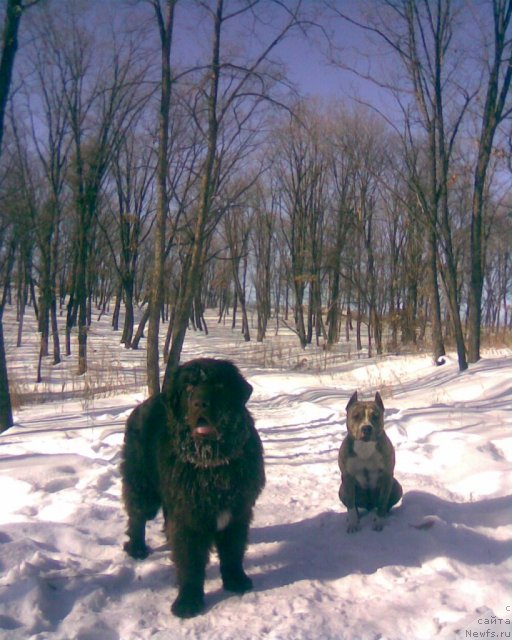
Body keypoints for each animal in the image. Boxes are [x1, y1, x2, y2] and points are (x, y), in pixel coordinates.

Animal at [119, 358, 264, 616]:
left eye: (218, 385)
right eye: (188, 388)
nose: (200, 403)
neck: (211, 465)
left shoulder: (238, 510)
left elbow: (233, 550)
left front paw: (236, 580)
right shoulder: (188, 515)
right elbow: (190, 560)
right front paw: (188, 602)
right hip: (143, 484)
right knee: (137, 515)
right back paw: (137, 548)